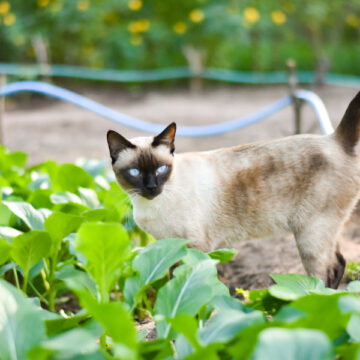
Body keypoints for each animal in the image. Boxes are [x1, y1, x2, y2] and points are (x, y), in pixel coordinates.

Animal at [107, 91, 360, 288]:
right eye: (135, 172)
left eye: (161, 169)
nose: (151, 187)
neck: (151, 206)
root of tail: (335, 139)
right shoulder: (169, 247)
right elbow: (171, 279)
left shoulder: (195, 247)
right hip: (322, 231)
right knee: (340, 263)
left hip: (310, 235)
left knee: (322, 277)